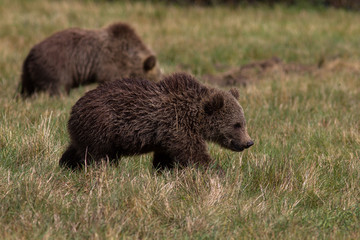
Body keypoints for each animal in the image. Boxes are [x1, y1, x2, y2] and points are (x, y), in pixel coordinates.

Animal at [20, 22, 160, 97]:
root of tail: (30, 54)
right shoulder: (111, 65)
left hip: (28, 73)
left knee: (26, 89)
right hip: (56, 67)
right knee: (57, 88)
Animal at [59, 72, 253, 171]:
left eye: (244, 122)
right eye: (236, 124)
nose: (248, 142)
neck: (195, 118)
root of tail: (74, 109)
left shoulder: (167, 137)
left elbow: (165, 159)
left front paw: (163, 171)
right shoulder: (178, 126)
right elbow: (194, 154)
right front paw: (218, 171)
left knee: (76, 149)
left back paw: (66, 165)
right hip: (102, 126)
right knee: (99, 156)